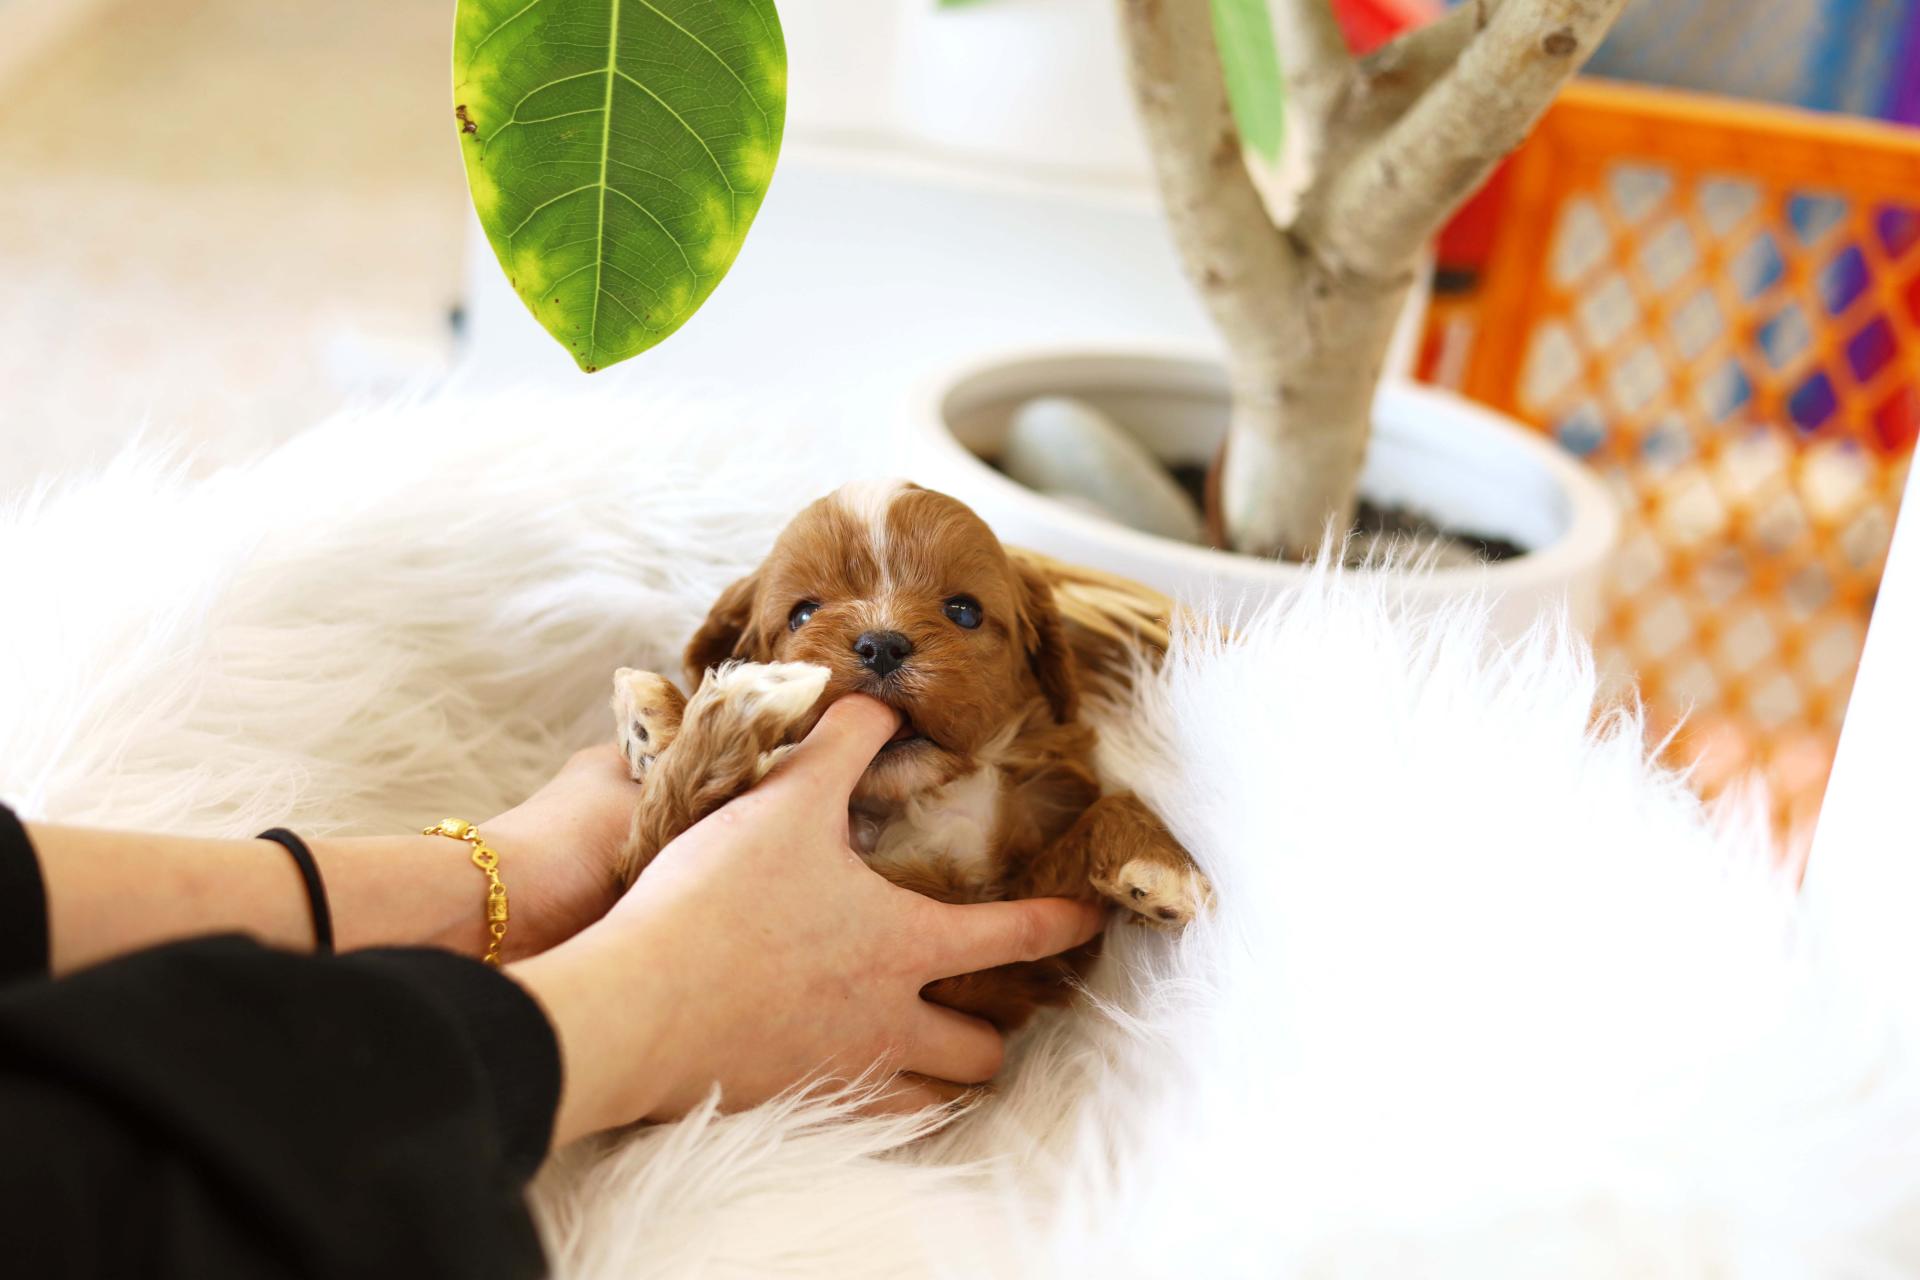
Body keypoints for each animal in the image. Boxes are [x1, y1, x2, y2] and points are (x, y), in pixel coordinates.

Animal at [609, 480, 1211, 1031]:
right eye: (803, 614)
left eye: (964, 612)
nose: (881, 644)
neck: (912, 797)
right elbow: (658, 841)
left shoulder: (1015, 958)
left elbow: (1102, 812)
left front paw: (1163, 871)